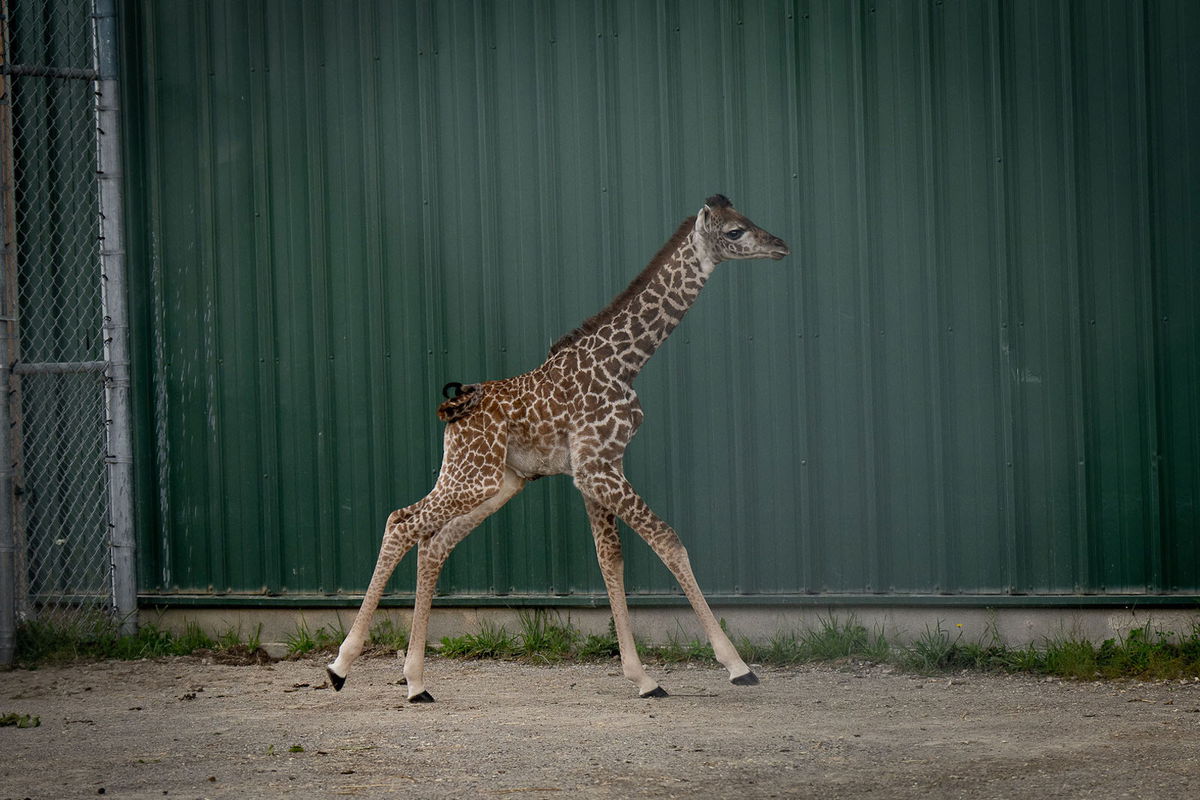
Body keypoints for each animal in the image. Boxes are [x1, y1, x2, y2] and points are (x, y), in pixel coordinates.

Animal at [333, 195, 792, 700]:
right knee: (401, 522)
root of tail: (453, 411)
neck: (625, 362)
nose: (781, 246)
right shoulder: (597, 468)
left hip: (496, 482)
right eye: (734, 232)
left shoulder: (599, 468)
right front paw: (736, 665)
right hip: (474, 477)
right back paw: (340, 667)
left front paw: (642, 677)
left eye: (747, 220)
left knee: (432, 543)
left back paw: (416, 682)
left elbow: (611, 559)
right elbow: (669, 542)